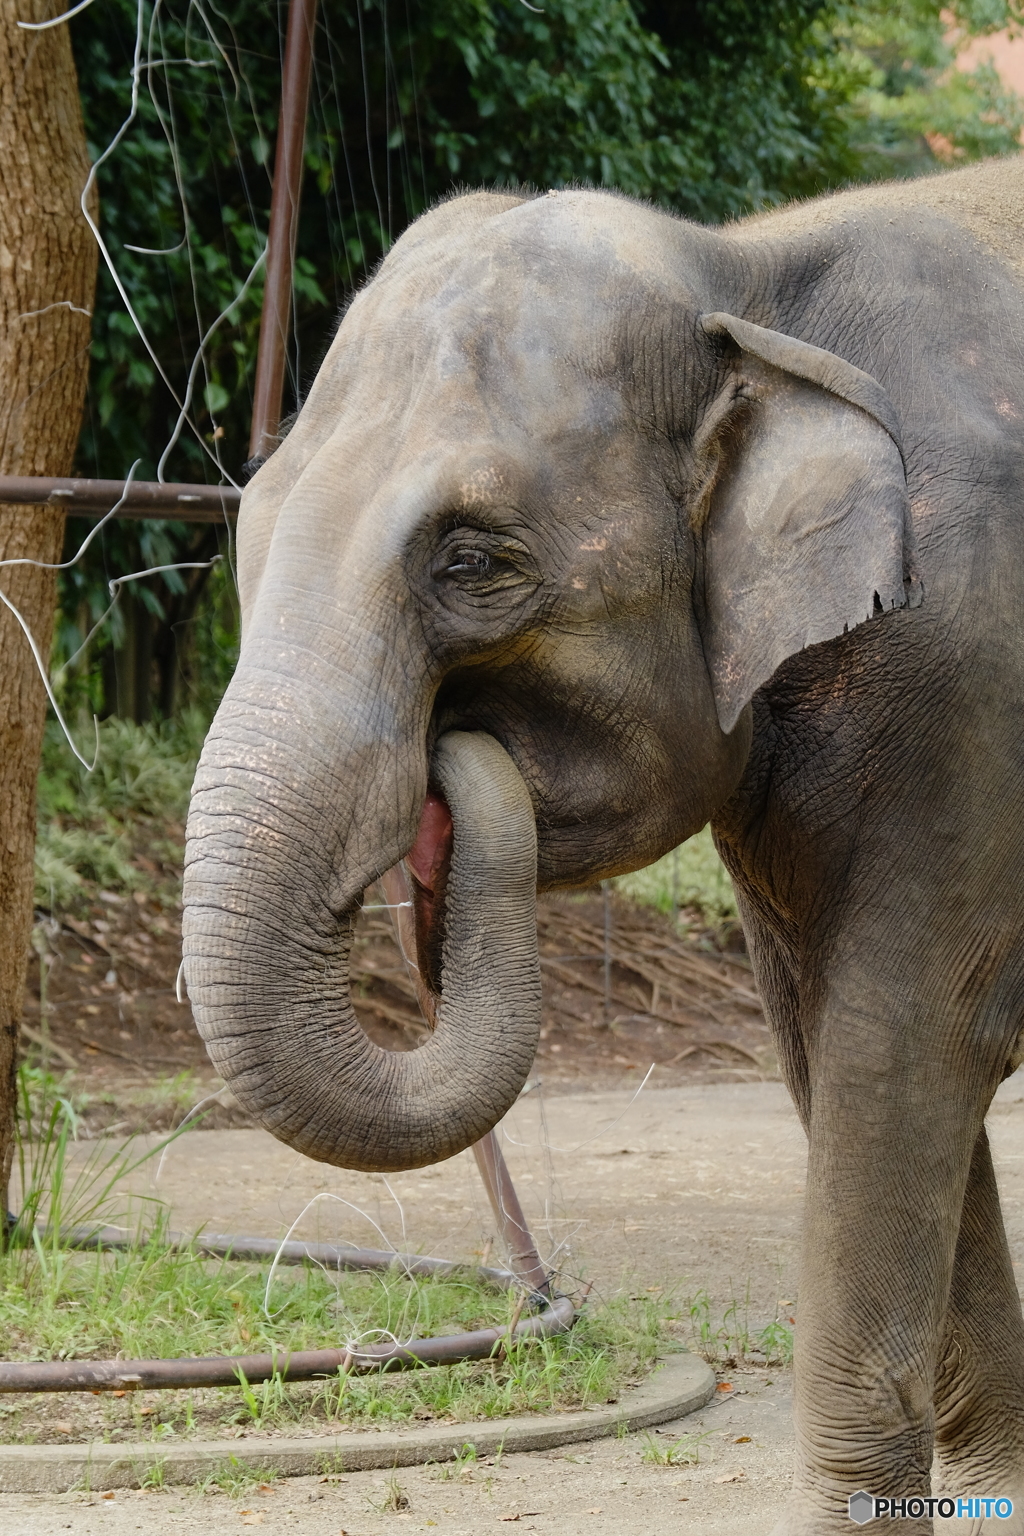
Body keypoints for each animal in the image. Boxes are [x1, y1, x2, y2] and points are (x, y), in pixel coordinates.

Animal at [184, 158, 1024, 1536]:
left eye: (472, 560)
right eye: (248, 527)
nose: (455, 758)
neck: (741, 272)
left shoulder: (976, 668)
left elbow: (903, 1045)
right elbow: (835, 1048)